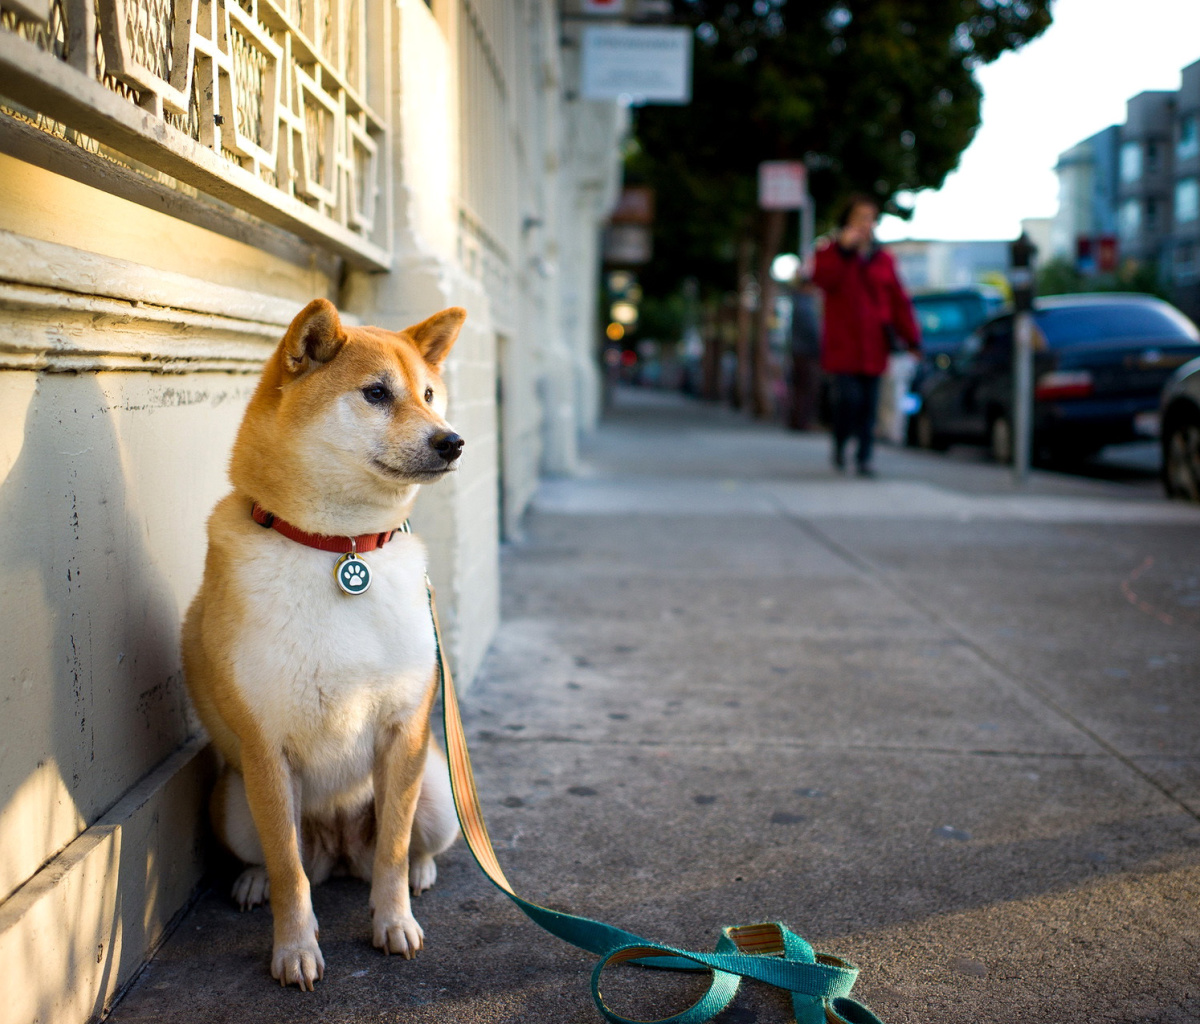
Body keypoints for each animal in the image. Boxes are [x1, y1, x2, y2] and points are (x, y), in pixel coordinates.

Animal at [181, 300, 463, 989]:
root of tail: (337, 847)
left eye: (428, 394)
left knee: (403, 845)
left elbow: (392, 848)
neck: (342, 549)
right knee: (285, 860)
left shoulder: (402, 731)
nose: (452, 440)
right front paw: (294, 949)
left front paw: (394, 920)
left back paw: (421, 871)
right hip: (233, 802)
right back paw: (252, 882)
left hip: (438, 794)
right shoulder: (264, 750)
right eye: (376, 394)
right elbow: (289, 869)